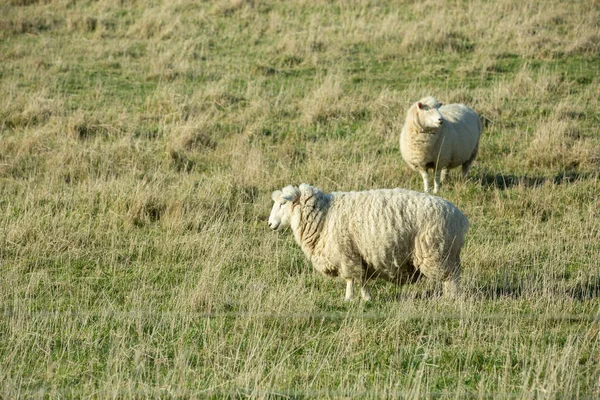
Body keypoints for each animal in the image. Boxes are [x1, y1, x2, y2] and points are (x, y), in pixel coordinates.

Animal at [268, 184, 468, 300]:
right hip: (447, 253)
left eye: (283, 204)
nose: (270, 224)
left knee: (451, 278)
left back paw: (451, 298)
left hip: (436, 252)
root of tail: (460, 218)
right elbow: (362, 279)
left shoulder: (346, 254)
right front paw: (367, 298)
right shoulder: (359, 255)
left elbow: (350, 278)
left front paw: (348, 299)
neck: (324, 215)